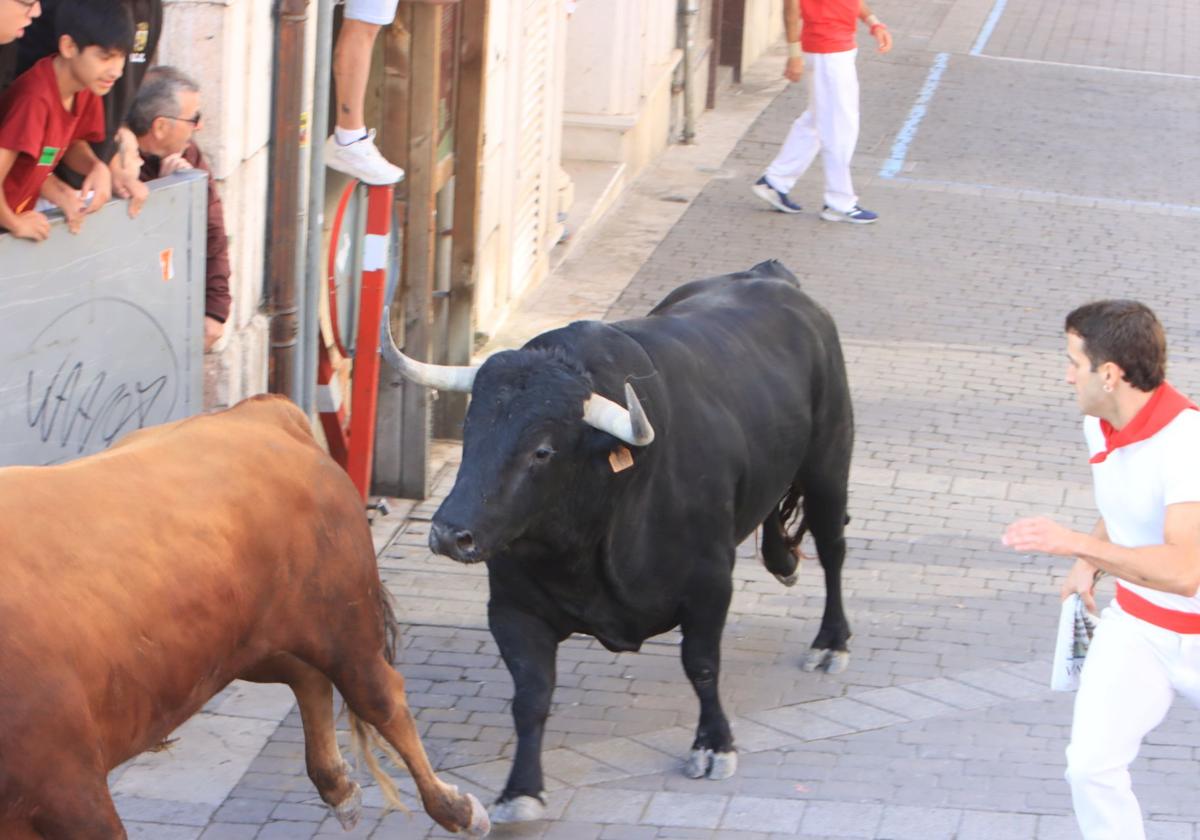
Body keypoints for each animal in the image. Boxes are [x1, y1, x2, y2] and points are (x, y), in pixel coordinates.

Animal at [0, 396, 489, 840]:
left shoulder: (73, 789)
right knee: (308, 678)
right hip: (241, 648)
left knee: (382, 697)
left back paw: (456, 809)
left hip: (345, 627)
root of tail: (260, 412)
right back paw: (340, 788)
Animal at [384, 259, 854, 825]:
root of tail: (772, 276)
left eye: (542, 450)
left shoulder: (709, 586)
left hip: (829, 463)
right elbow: (530, 695)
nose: (450, 533)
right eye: (471, 430)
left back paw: (831, 643)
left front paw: (714, 744)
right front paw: (521, 789)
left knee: (833, 549)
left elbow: (701, 664)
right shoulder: (513, 608)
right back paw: (783, 561)